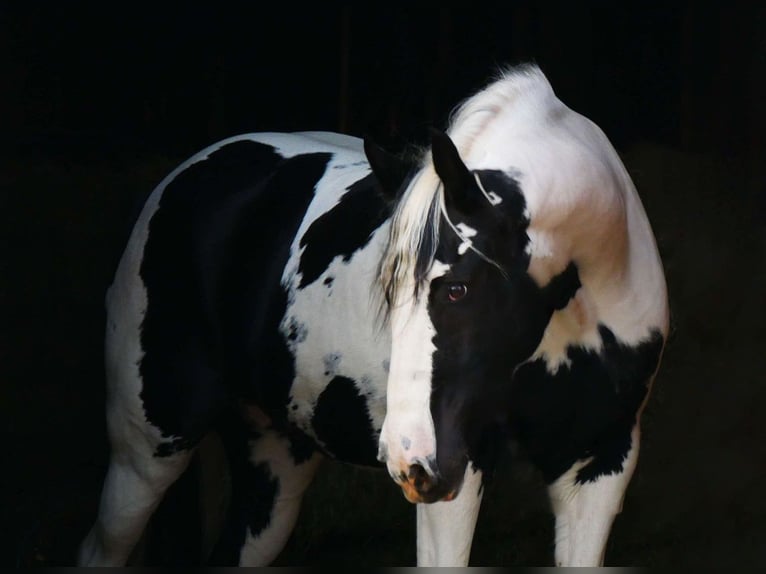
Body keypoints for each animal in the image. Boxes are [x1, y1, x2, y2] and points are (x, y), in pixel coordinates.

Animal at [75, 63, 668, 568]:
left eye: (457, 289)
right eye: (390, 291)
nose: (406, 461)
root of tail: (186, 177)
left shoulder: (600, 465)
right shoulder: (461, 468)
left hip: (274, 464)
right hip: (148, 449)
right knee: (100, 549)